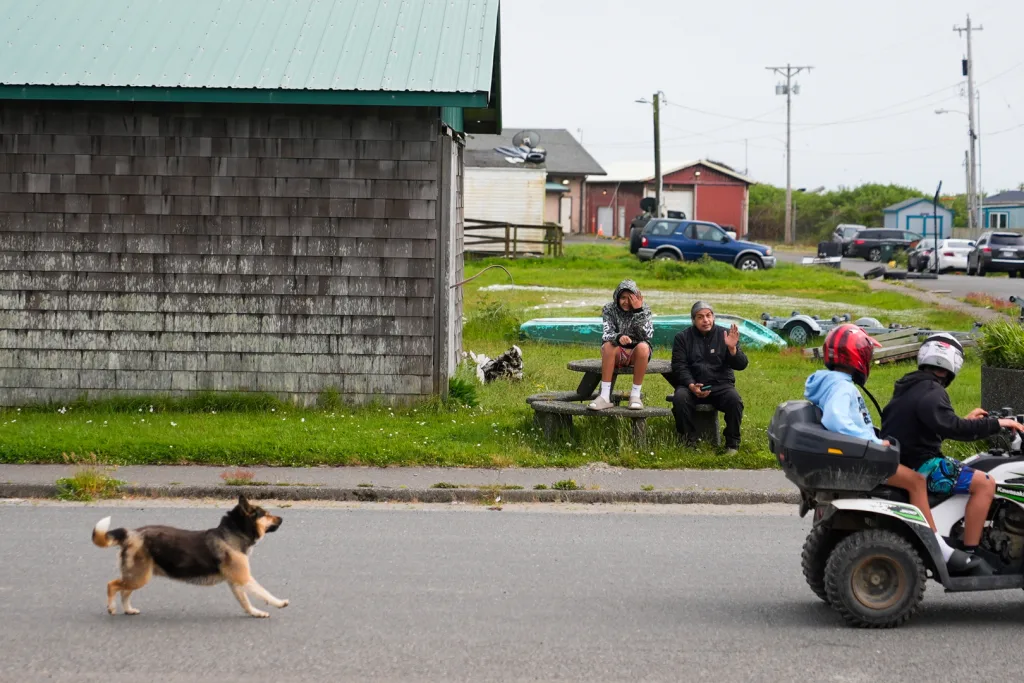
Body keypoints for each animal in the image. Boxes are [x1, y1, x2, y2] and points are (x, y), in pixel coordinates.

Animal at [92, 497, 288, 618]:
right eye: (266, 514)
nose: (282, 519)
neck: (233, 533)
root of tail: (130, 534)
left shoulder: (235, 582)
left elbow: (245, 602)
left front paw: (255, 613)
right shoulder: (243, 578)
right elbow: (263, 592)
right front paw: (279, 603)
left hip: (137, 575)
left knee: (124, 592)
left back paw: (129, 610)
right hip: (138, 576)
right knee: (112, 585)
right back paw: (112, 608)